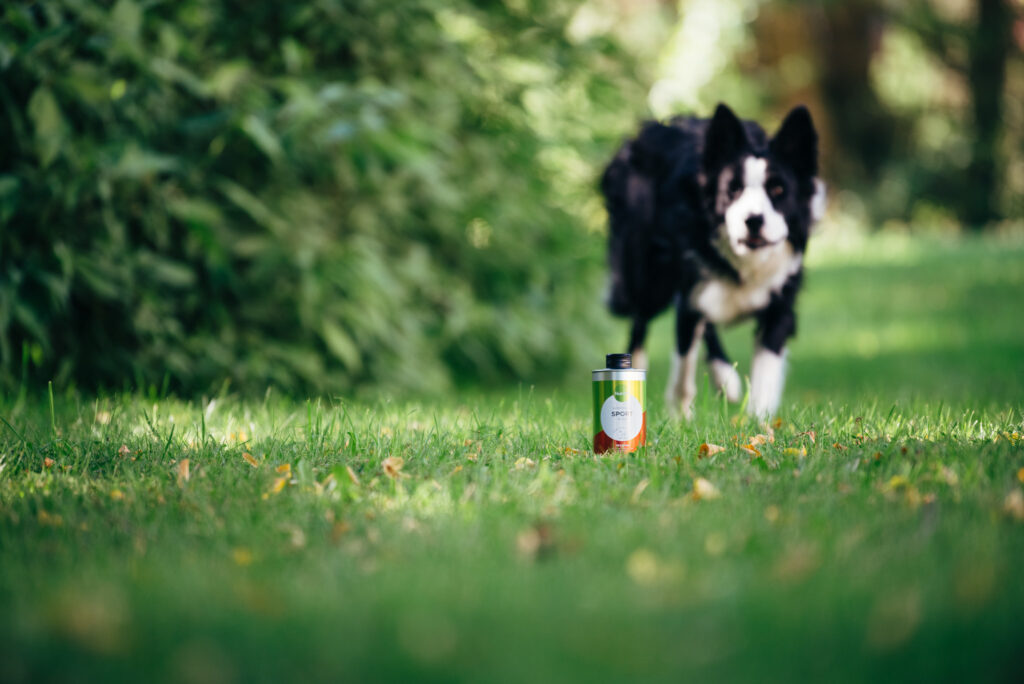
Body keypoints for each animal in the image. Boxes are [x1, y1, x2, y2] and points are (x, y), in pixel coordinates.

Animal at [598, 104, 823, 419]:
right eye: (733, 190)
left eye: (778, 190)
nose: (754, 220)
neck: (743, 262)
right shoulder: (689, 284)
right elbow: (684, 358)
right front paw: (680, 415)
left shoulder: (780, 300)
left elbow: (766, 367)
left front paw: (758, 419)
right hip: (647, 276)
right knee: (641, 319)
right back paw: (635, 364)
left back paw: (724, 378)